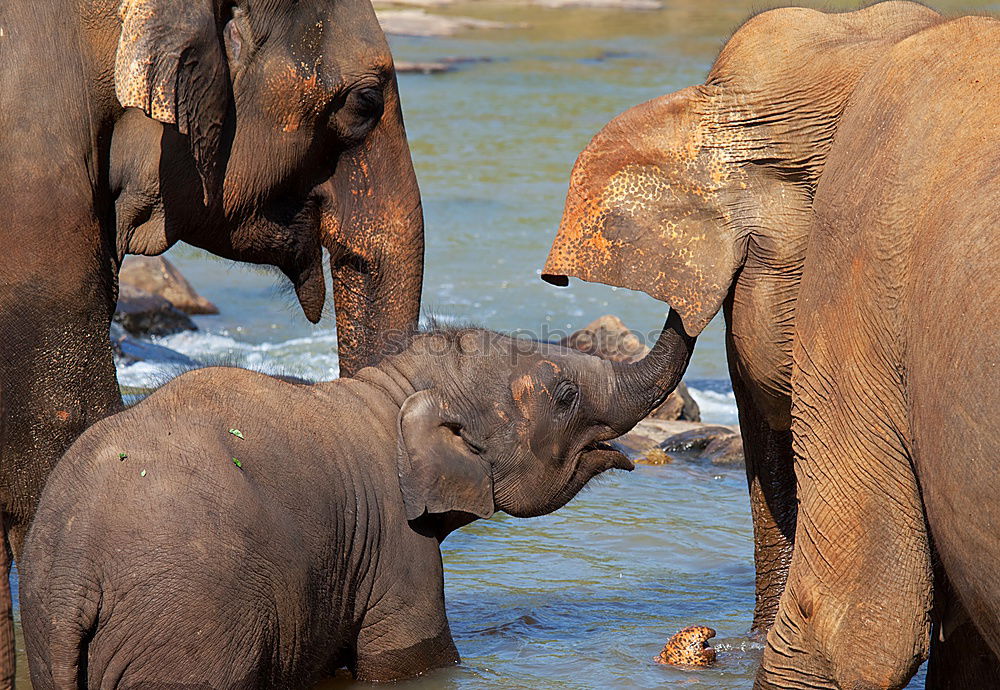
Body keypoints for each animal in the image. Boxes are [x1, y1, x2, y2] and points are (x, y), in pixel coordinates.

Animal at [21, 314, 696, 684]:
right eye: (563, 395)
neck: (388, 391)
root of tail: (73, 573)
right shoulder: (398, 546)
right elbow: (411, 658)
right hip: (188, 627)